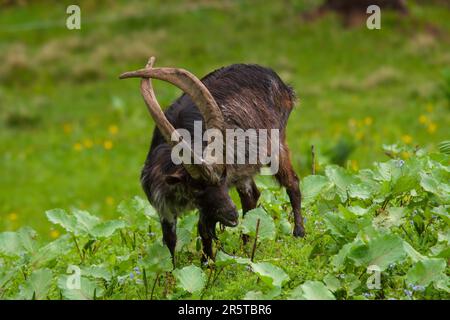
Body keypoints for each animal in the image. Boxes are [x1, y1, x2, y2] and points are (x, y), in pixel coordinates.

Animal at [118, 57, 306, 262]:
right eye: (198, 188)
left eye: (222, 181)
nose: (232, 216)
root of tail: (281, 84)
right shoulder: (165, 207)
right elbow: (170, 239)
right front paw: (173, 268)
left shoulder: (208, 207)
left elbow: (203, 230)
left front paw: (208, 263)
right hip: (244, 169)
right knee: (251, 196)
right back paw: (246, 246)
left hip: (276, 145)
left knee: (292, 182)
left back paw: (299, 233)